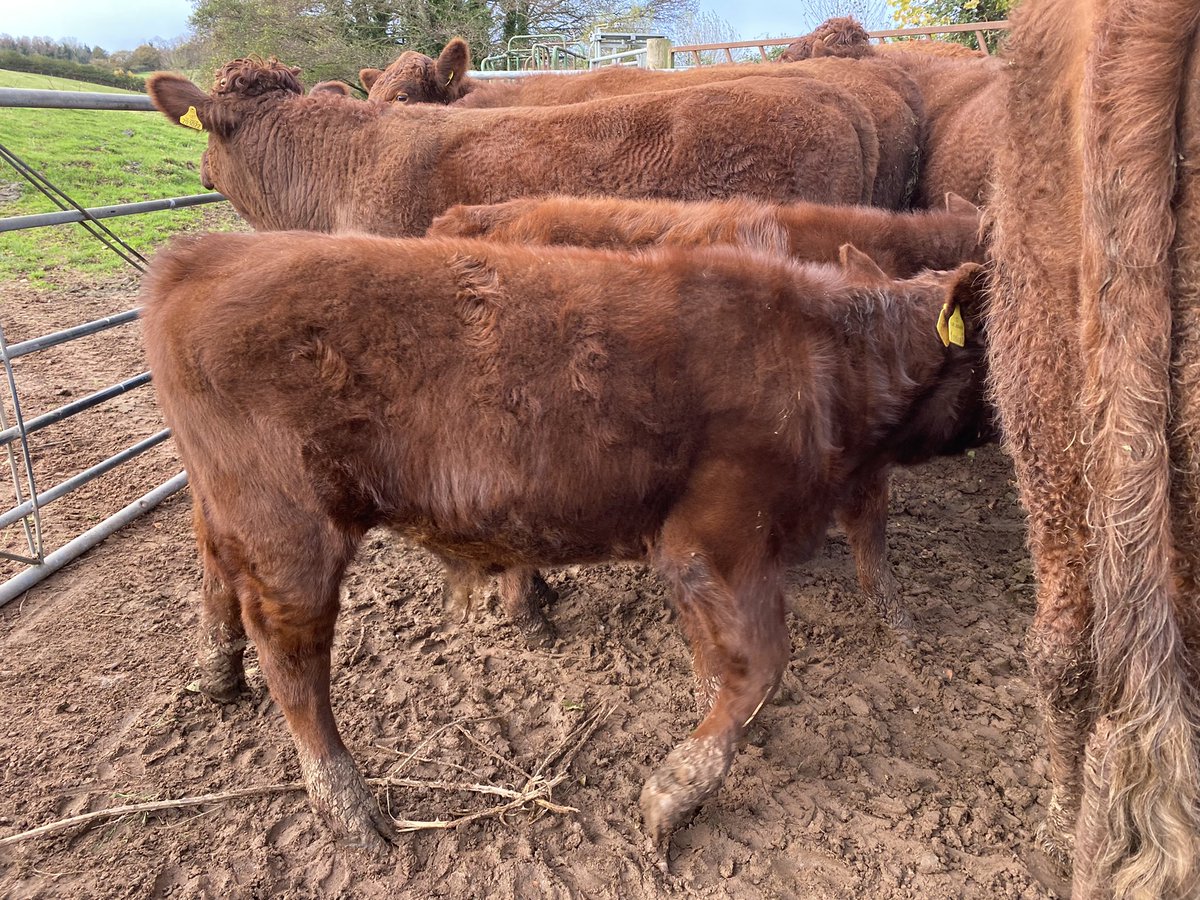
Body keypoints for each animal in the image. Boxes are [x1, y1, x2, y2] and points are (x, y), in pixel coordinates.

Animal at [141, 229, 990, 856]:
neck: (826, 357)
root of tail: (205, 251)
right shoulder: (715, 540)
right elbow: (760, 665)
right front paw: (673, 793)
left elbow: (721, 662)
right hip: (290, 530)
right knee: (292, 651)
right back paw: (349, 809)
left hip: (227, 504)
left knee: (214, 569)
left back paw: (217, 677)